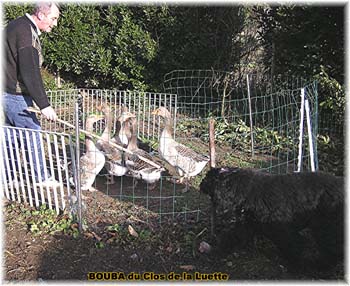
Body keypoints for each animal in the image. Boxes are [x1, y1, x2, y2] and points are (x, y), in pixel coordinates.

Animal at [200, 168, 344, 272]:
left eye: (207, 178)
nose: (201, 183)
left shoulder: (282, 230)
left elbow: (293, 246)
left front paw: (297, 265)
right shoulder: (246, 224)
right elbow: (231, 237)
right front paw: (218, 251)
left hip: (326, 227)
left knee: (332, 249)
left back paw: (320, 265)